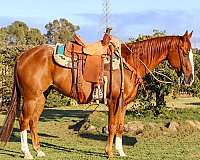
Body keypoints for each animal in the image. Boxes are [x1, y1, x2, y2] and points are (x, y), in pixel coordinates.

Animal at [0, 30, 194, 158]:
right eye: (185, 52)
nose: (190, 79)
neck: (129, 62)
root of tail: (23, 55)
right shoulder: (113, 101)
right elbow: (112, 126)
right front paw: (109, 153)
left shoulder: (123, 103)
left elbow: (120, 126)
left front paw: (121, 151)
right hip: (30, 97)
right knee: (24, 121)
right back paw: (26, 153)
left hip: (42, 96)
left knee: (33, 121)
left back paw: (39, 151)